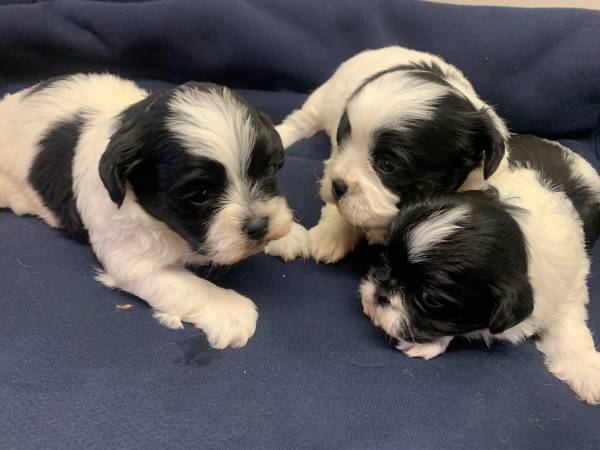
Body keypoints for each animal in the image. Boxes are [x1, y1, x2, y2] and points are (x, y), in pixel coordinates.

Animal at [0, 73, 293, 349]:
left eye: (269, 169)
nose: (259, 226)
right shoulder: (131, 258)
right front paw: (229, 310)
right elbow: (189, 287)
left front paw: (293, 236)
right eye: (200, 194)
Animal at [269, 46, 508, 263]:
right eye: (341, 140)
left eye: (386, 164)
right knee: (300, 121)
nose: (337, 186)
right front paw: (330, 234)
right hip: (320, 101)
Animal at [360, 135, 600, 404]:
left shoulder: (570, 288)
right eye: (385, 258)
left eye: (429, 299)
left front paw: (588, 371)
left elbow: (570, 329)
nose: (381, 293)